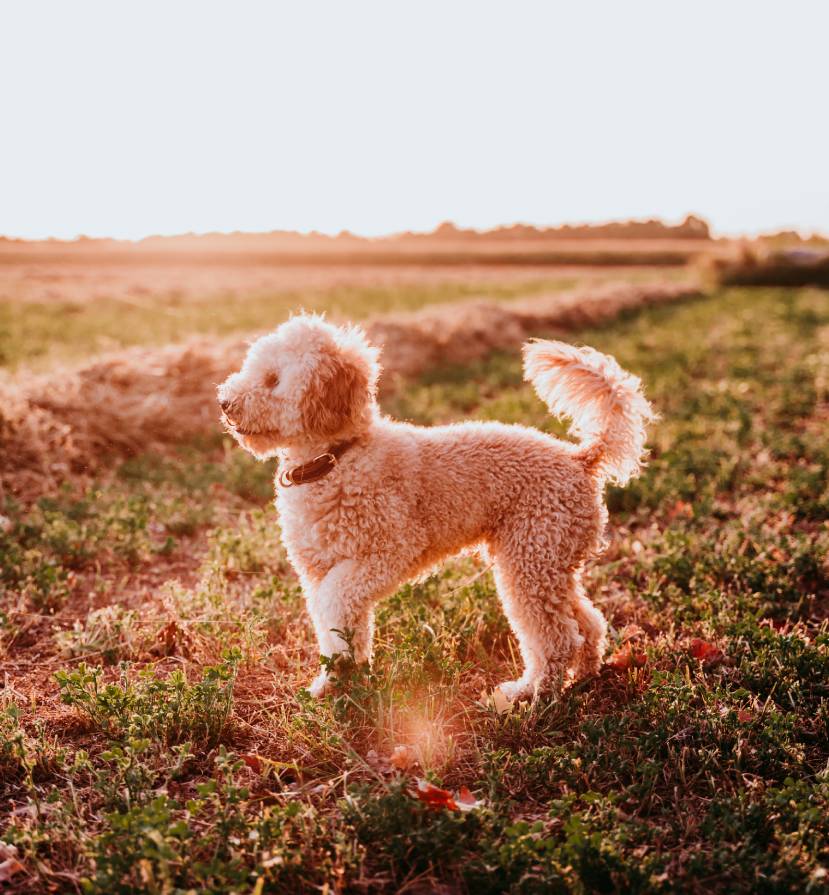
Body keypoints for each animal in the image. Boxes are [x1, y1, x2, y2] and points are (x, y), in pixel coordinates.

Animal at [218, 314, 652, 700]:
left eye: (273, 380)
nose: (224, 401)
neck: (336, 458)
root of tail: (580, 458)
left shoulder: (386, 552)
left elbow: (334, 604)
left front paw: (342, 677)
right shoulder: (318, 570)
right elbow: (336, 629)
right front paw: (337, 682)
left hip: (530, 560)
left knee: (557, 637)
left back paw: (533, 696)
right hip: (549, 565)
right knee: (588, 623)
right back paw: (582, 676)